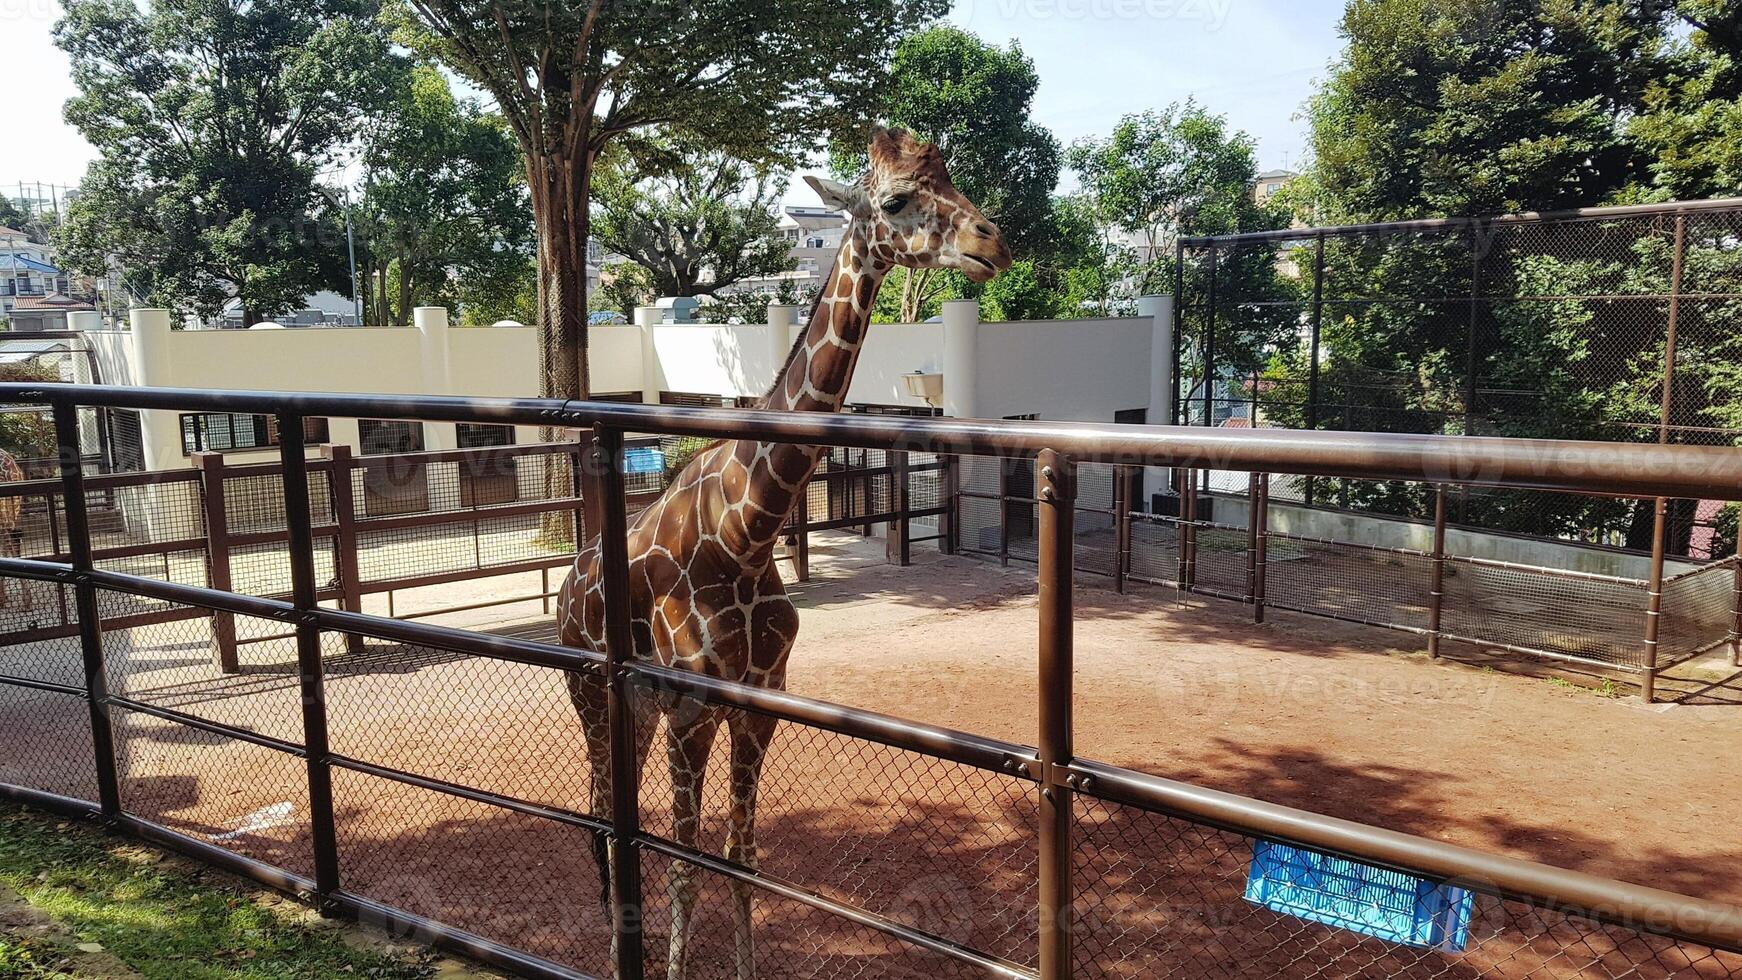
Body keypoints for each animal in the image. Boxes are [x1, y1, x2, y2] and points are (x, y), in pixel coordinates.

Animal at [564, 128, 1017, 980]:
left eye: (950, 180)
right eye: (896, 200)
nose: (990, 242)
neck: (745, 534)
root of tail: (567, 589)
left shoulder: (760, 703)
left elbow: (740, 861)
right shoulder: (690, 709)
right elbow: (685, 870)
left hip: (632, 710)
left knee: (614, 821)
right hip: (593, 695)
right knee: (604, 820)